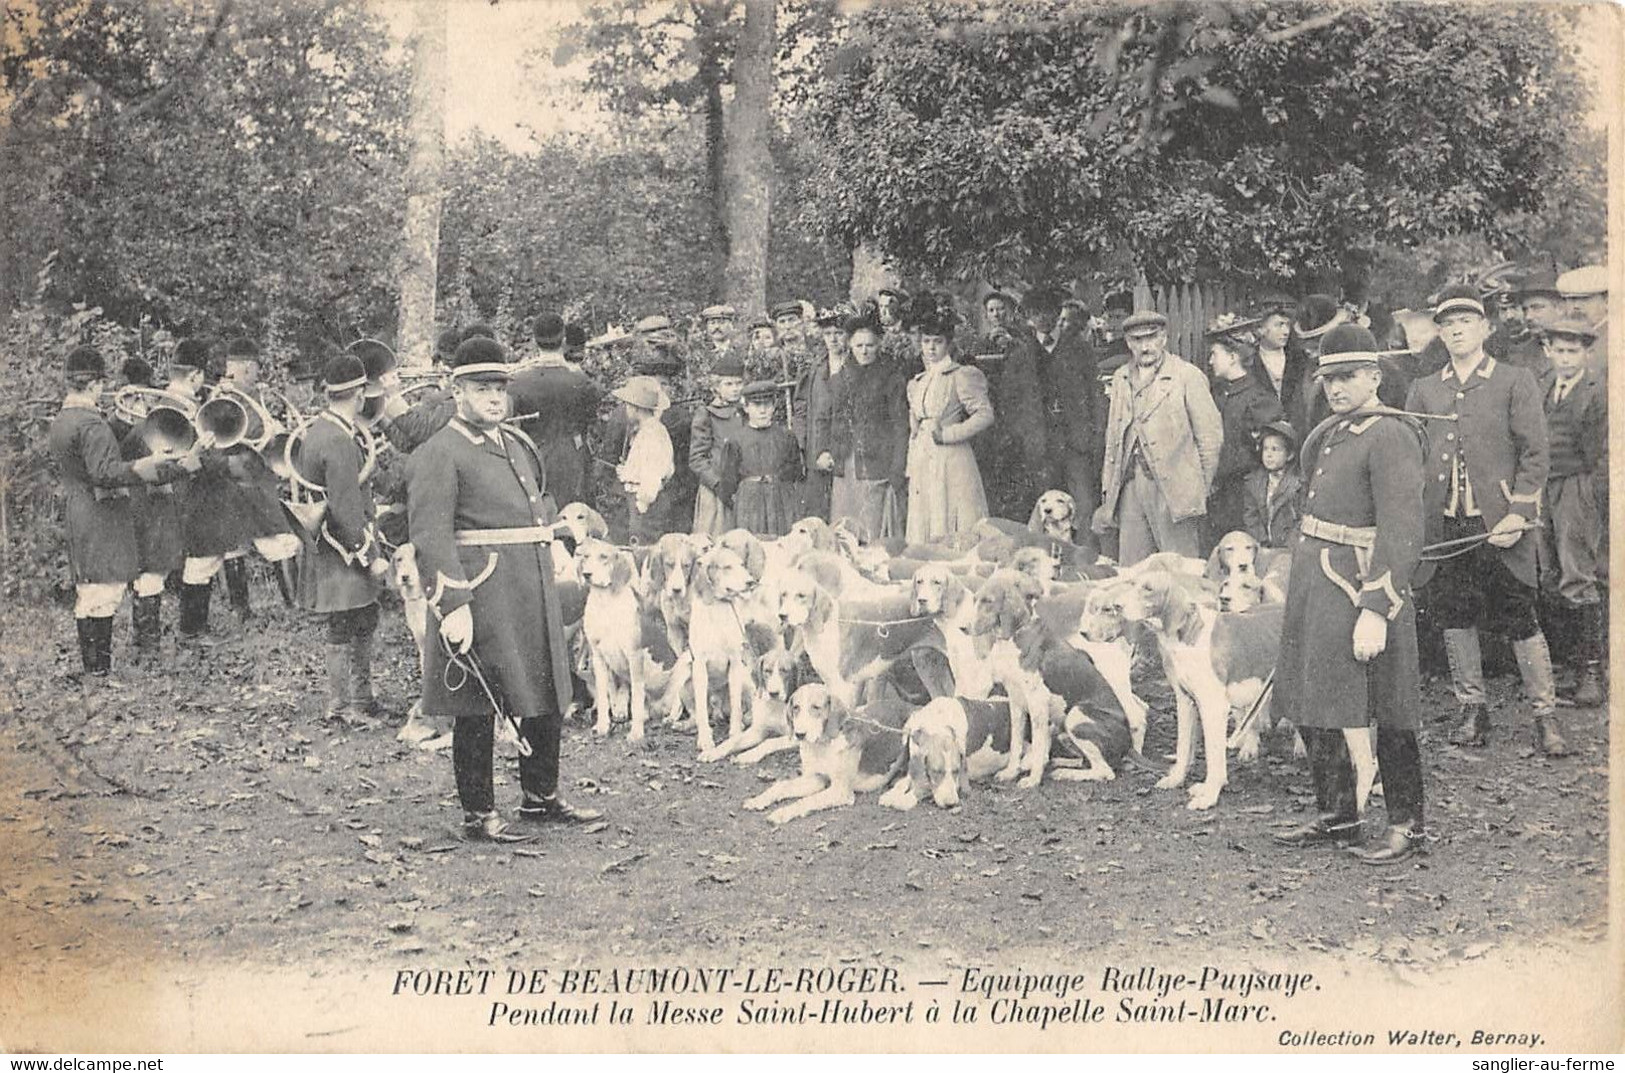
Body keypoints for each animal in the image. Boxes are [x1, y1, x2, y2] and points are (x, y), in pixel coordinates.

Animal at [741, 682, 916, 825]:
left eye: (816, 708)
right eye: (796, 707)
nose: (799, 734)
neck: (822, 746)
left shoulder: (840, 791)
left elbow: (807, 800)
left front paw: (782, 812)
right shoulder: (815, 778)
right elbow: (781, 786)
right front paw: (759, 799)